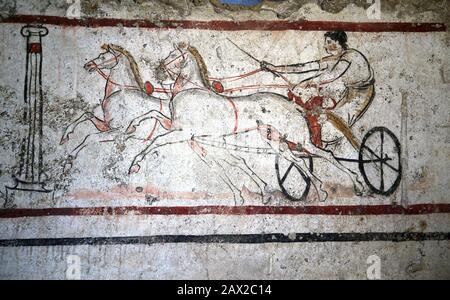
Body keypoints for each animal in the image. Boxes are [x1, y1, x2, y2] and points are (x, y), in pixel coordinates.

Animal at [126, 42, 366, 202]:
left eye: (175, 55)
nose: (157, 72)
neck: (191, 91)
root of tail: (293, 105)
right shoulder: (181, 130)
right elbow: (152, 114)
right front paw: (131, 128)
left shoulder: (184, 132)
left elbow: (156, 140)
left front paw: (134, 163)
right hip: (275, 141)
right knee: (297, 159)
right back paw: (321, 189)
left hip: (299, 139)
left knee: (326, 155)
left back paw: (355, 184)